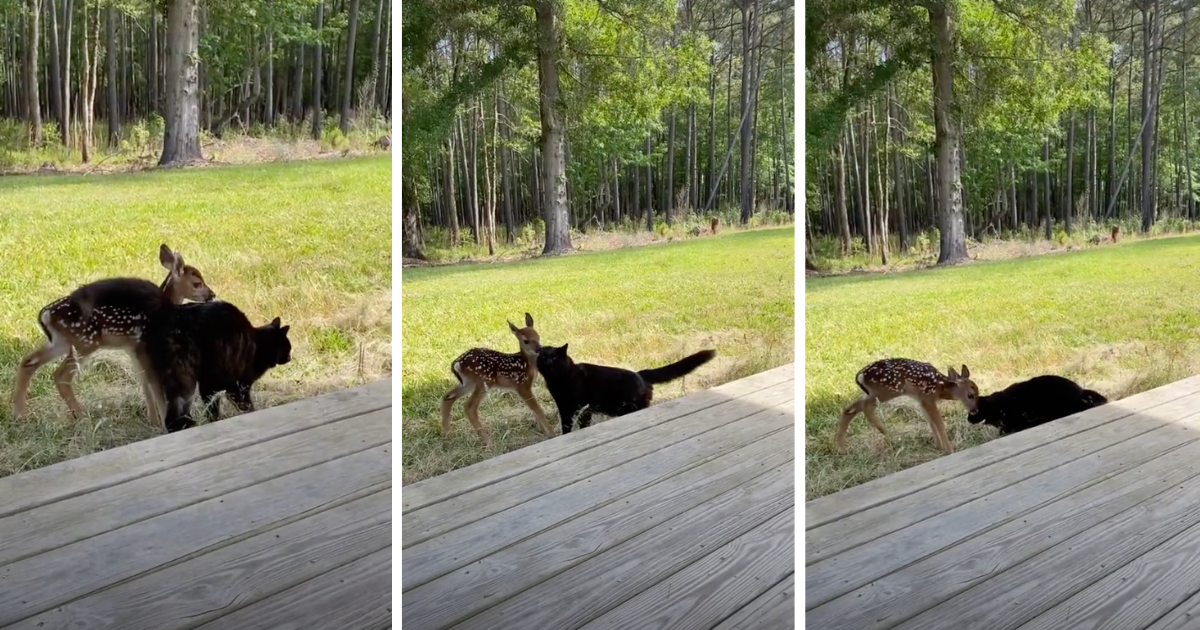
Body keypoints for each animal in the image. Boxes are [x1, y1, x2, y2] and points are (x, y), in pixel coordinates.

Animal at [535, 343, 710, 432]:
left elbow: (571, 425)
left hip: (631, 407)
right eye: (543, 357)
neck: (558, 380)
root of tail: (641, 374)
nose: (548, 362)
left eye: (554, 358)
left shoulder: (577, 407)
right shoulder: (568, 407)